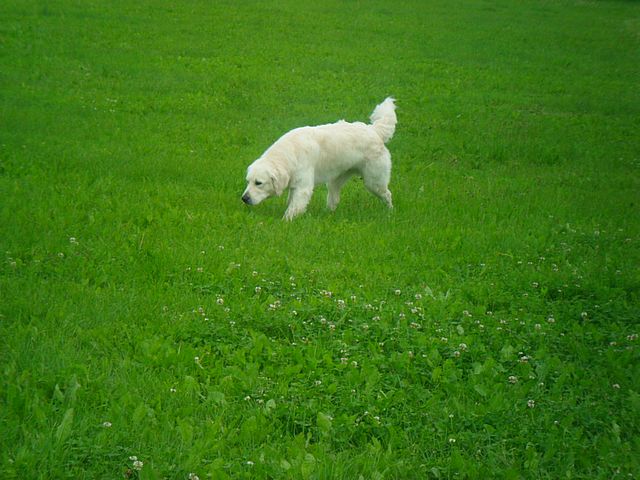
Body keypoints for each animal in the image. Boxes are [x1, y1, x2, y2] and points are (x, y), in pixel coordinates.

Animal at [242, 97, 397, 220]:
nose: (244, 198)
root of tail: (374, 130)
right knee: (334, 199)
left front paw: (285, 222)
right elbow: (291, 202)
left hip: (374, 182)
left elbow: (293, 209)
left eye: (259, 183)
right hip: (335, 181)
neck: (290, 154)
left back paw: (390, 212)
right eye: (248, 181)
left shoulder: (303, 188)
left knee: (388, 194)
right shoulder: (295, 185)